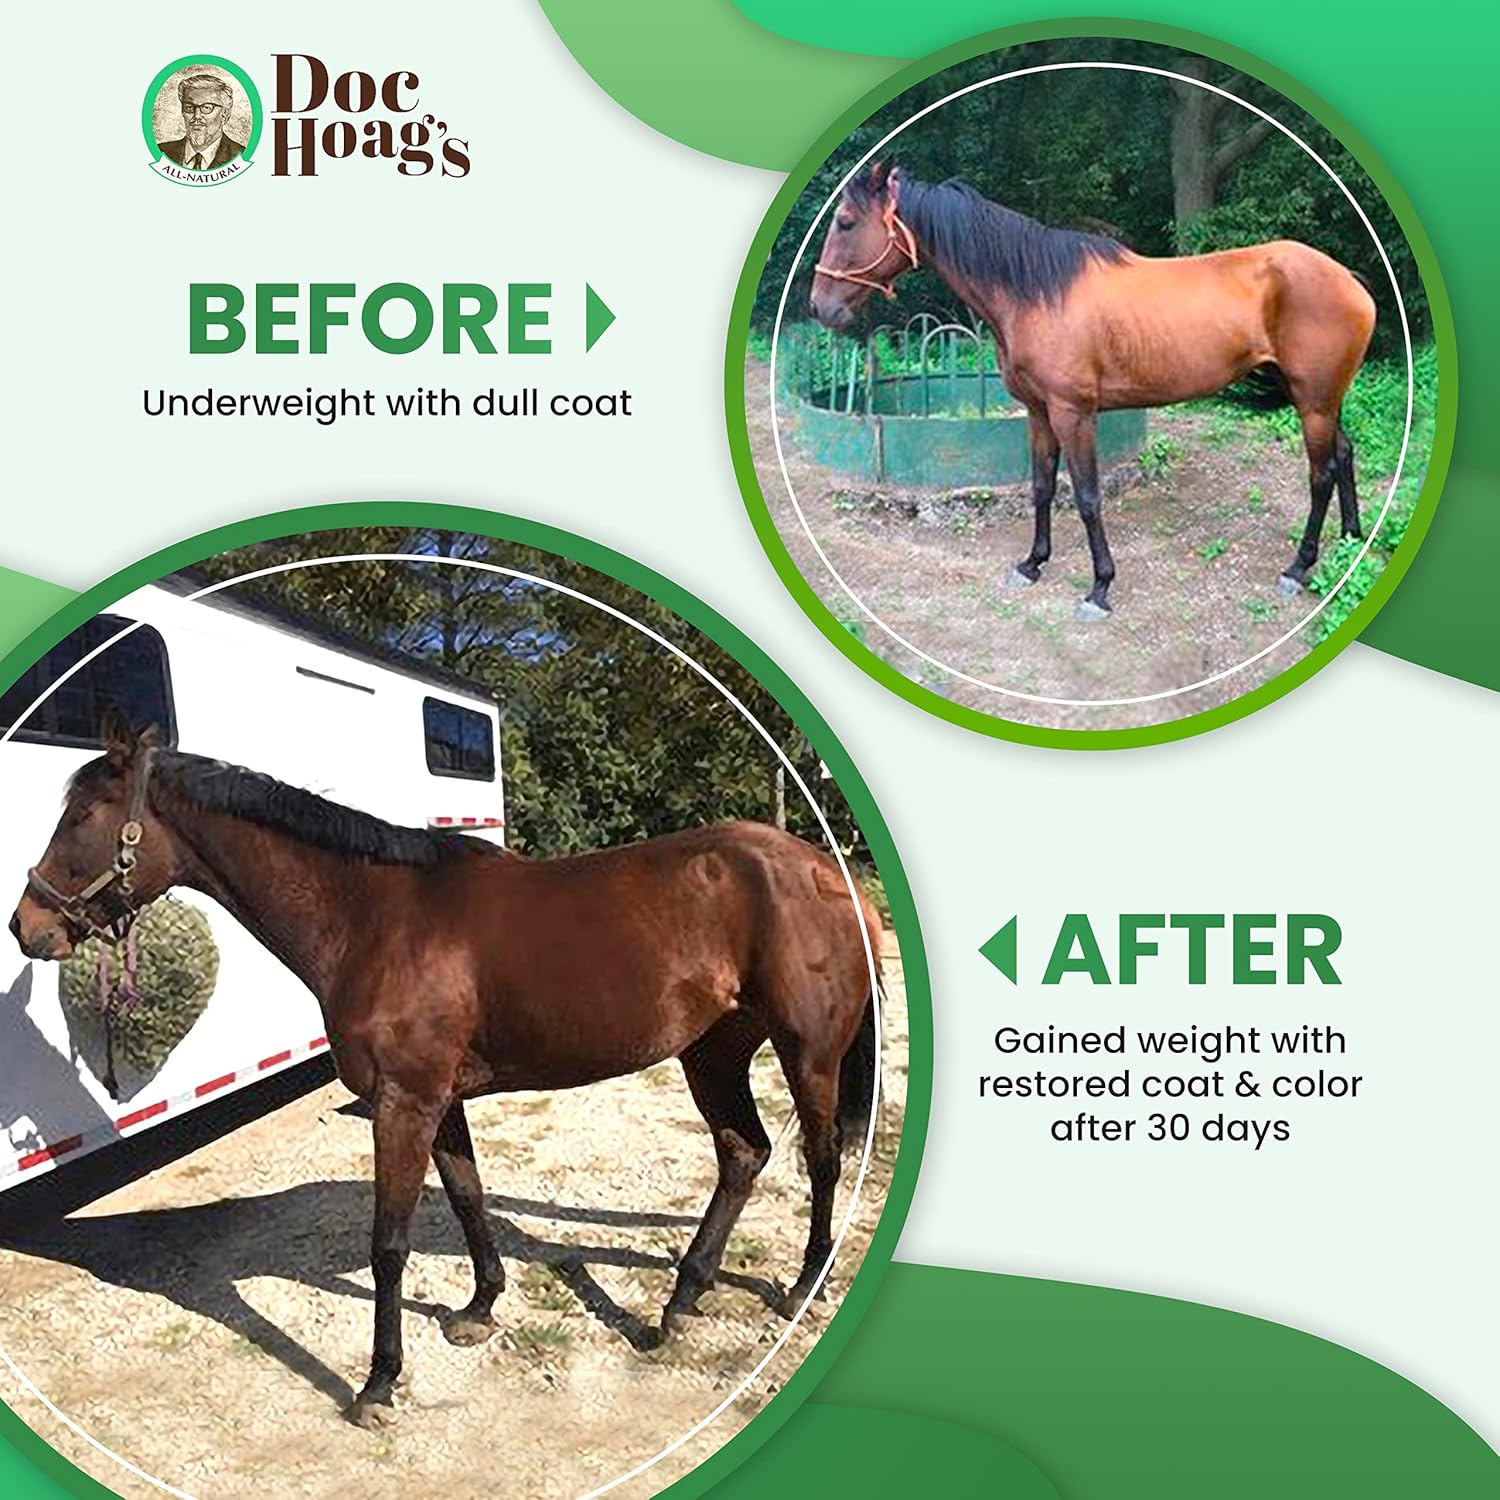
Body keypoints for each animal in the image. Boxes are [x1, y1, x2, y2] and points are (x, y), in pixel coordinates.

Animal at [9, 720, 881, 1430]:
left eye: (82, 817)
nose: (29, 925)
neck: (374, 917)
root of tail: (827, 875)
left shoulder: (404, 1104)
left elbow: (389, 1243)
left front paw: (377, 1384)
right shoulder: (440, 1101)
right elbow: (466, 1197)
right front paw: (479, 1307)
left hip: (806, 1053)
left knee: (820, 1158)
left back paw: (802, 1286)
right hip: (712, 1053)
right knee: (744, 1154)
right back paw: (680, 1301)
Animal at [809, 162, 1377, 620]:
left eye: (846, 222)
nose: (819, 307)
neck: (1035, 291)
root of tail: (1350, 280)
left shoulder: (1073, 413)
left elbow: (1085, 496)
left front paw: (1100, 588)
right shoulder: (1038, 412)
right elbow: (1041, 486)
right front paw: (1032, 564)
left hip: (1313, 403)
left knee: (1322, 474)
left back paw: (1298, 568)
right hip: (1322, 400)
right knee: (1346, 454)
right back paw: (1351, 543)